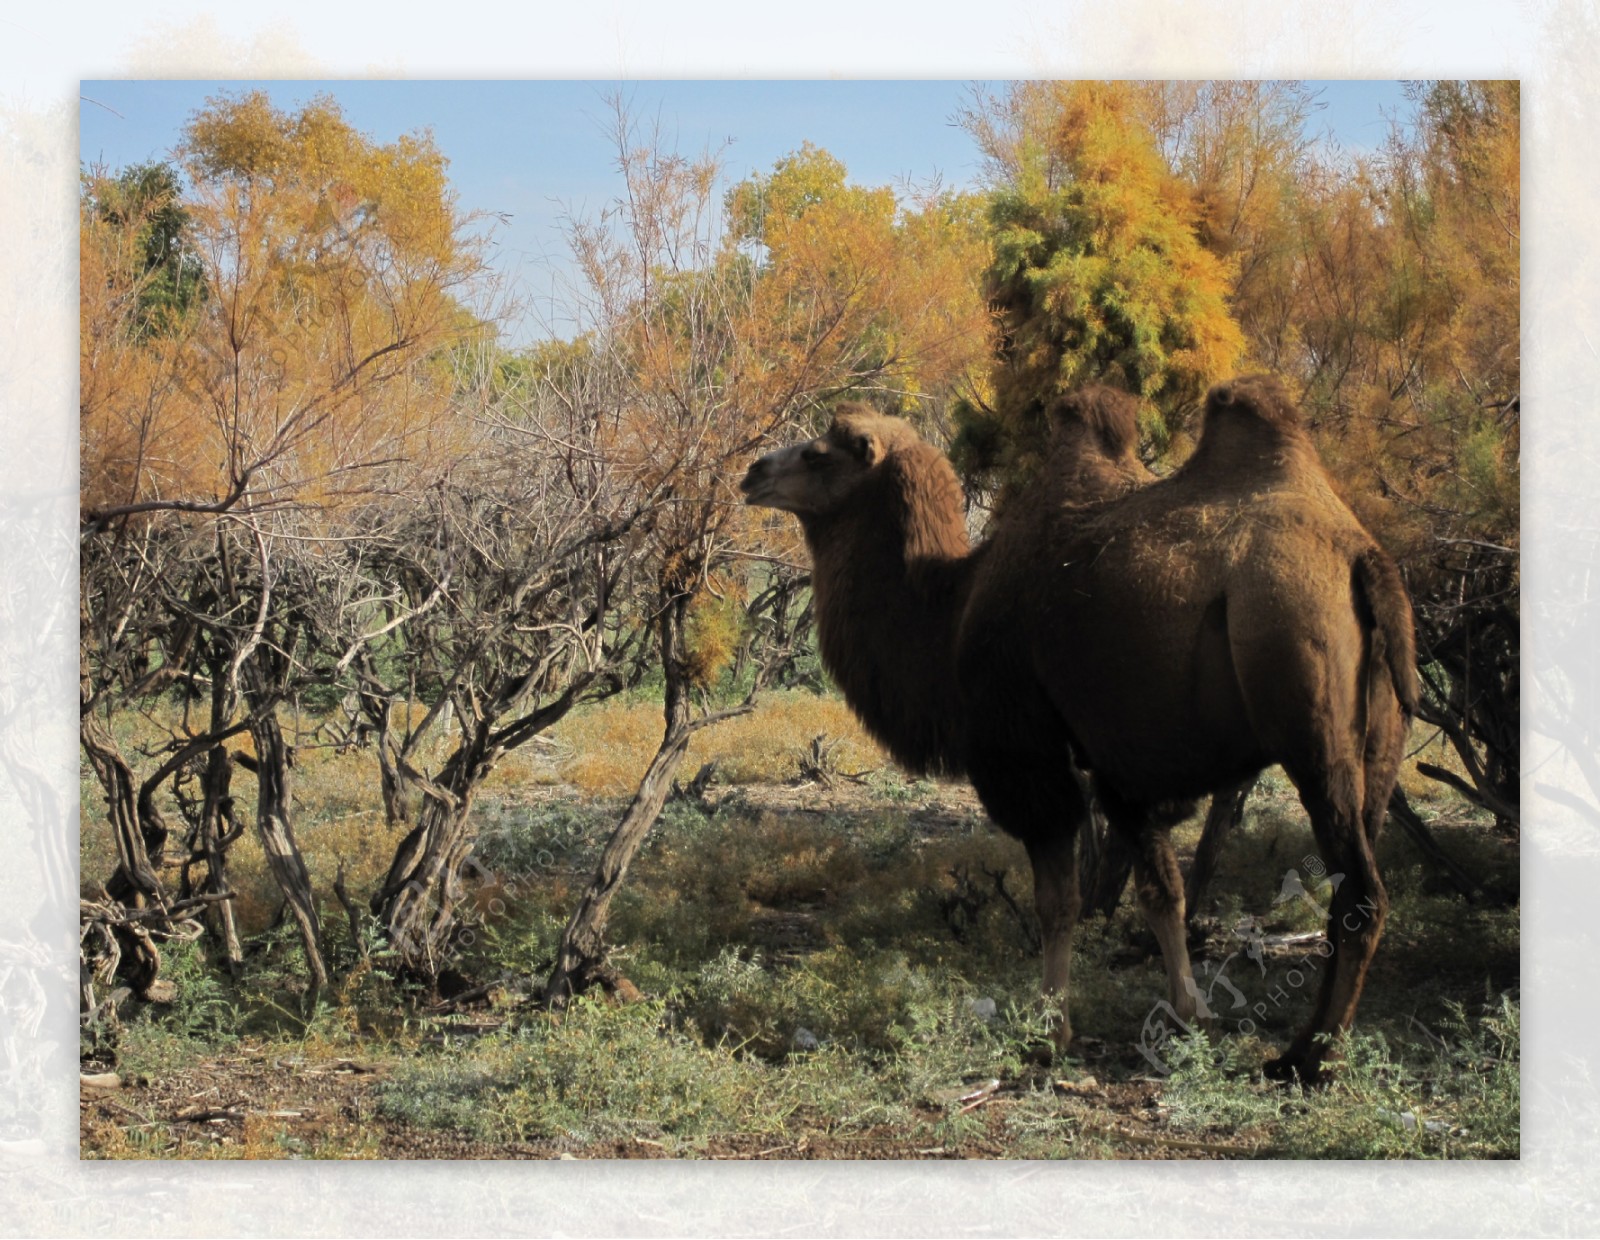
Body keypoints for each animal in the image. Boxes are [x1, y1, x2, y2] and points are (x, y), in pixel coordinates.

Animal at [742, 372, 1420, 1081]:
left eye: (820, 453)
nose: (753, 472)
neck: (950, 612)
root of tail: (1362, 559)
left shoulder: (1030, 758)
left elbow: (1057, 901)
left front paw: (1048, 1032)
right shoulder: (1121, 767)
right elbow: (1162, 892)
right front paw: (1191, 1016)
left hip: (1307, 714)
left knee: (1361, 891)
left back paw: (1308, 1058)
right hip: (1379, 743)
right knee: (1351, 874)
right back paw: (1307, 1045)